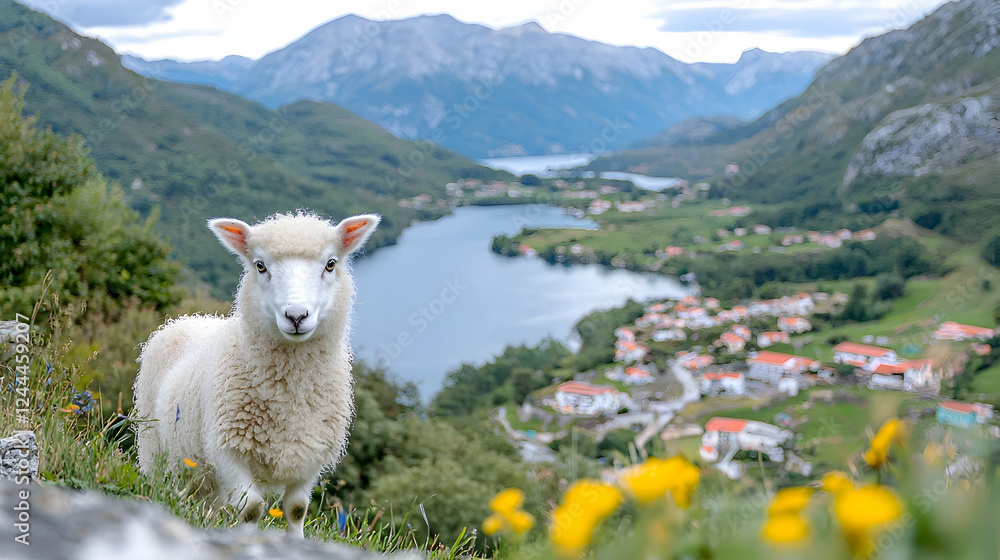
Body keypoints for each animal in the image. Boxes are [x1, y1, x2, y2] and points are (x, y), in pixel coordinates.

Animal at [133, 211, 379, 538]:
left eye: (330, 264)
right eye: (260, 266)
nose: (296, 316)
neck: (289, 392)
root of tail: (185, 320)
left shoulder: (310, 455)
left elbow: (296, 509)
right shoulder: (228, 450)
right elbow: (250, 509)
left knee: (206, 502)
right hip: (155, 448)